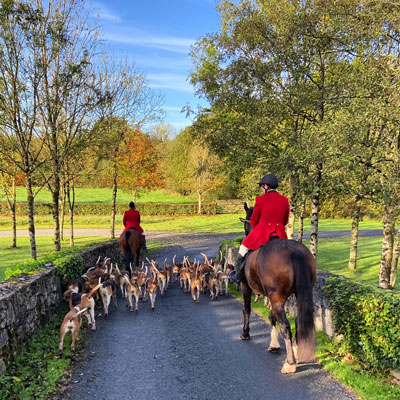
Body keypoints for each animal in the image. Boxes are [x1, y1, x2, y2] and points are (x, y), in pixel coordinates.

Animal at [238, 203, 316, 376]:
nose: (245, 233)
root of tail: (295, 252)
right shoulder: (272, 296)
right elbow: (271, 316)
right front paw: (274, 344)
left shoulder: (246, 287)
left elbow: (247, 310)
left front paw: (245, 334)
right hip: (296, 294)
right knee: (297, 323)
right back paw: (296, 352)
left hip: (276, 297)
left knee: (286, 326)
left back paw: (290, 363)